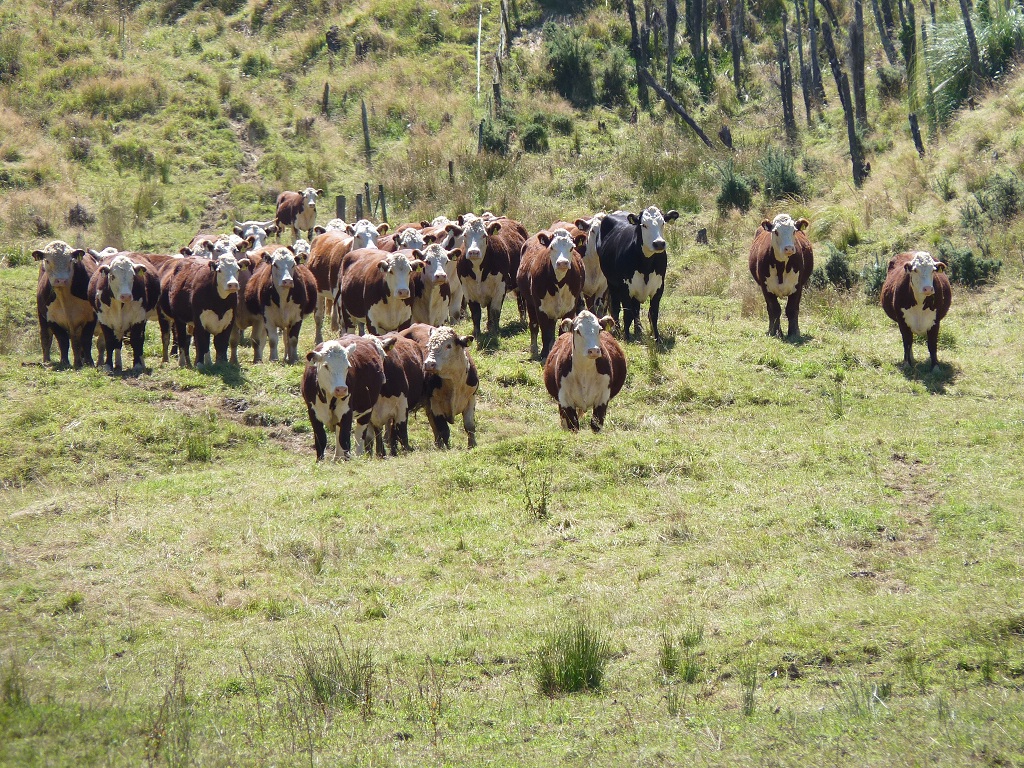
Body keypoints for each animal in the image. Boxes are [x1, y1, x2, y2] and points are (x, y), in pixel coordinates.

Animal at [34, 241, 99, 370]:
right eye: (47, 260)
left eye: (70, 260)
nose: (61, 280)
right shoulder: (52, 319)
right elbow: (62, 340)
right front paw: (64, 362)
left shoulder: (91, 317)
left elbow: (86, 339)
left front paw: (89, 362)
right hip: (41, 316)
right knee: (45, 337)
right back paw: (46, 361)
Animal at [520, 228, 585, 360]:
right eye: (552, 247)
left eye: (571, 247)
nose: (562, 263)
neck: (558, 283)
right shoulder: (540, 309)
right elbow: (545, 332)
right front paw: (544, 353)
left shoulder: (570, 309)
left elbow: (562, 331)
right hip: (530, 303)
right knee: (534, 325)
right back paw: (534, 350)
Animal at [593, 205, 679, 342]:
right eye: (644, 225)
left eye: (663, 223)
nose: (659, 243)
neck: (646, 266)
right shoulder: (625, 288)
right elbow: (627, 313)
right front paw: (627, 336)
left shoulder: (659, 288)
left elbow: (653, 314)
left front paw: (657, 338)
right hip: (611, 283)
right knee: (616, 308)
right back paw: (617, 330)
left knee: (636, 309)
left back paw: (638, 329)